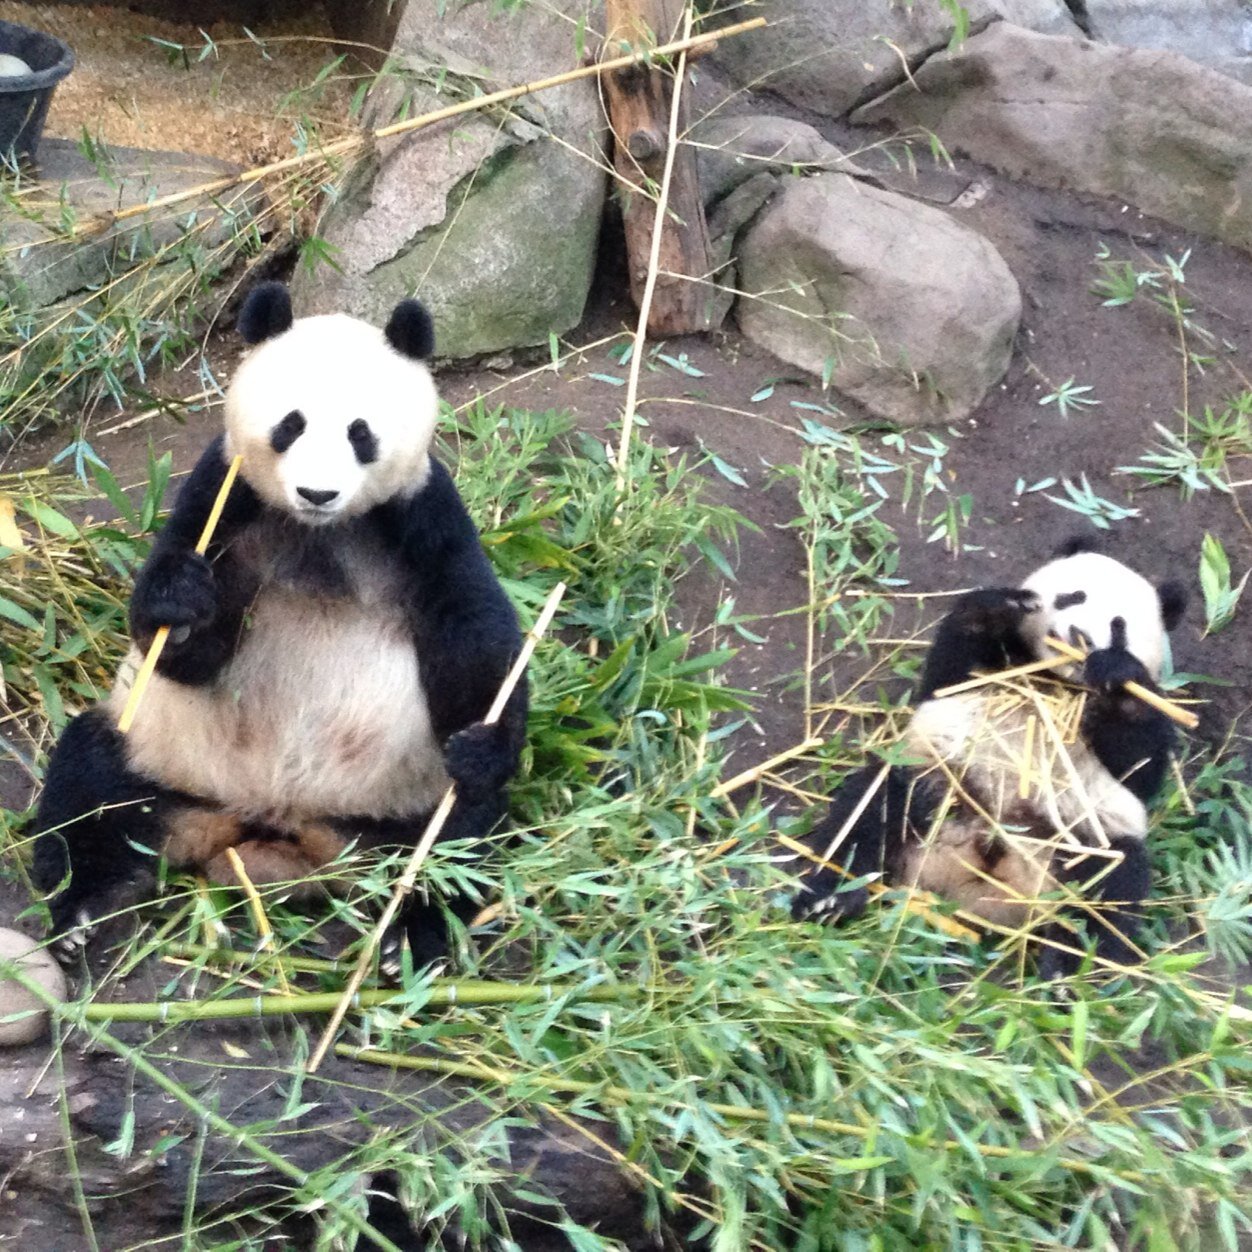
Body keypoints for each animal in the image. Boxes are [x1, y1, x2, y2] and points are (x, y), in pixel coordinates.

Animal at [33, 284, 523, 966]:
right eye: (291, 425)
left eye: (360, 434)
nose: (317, 493)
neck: (318, 531)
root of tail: (276, 823)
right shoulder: (225, 496)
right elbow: (188, 645)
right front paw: (179, 607)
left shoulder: (422, 518)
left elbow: (472, 638)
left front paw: (483, 744)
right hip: (161, 754)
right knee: (90, 787)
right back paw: (86, 907)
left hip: (402, 790)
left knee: (454, 838)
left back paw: (409, 934)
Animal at [786, 538, 1186, 976]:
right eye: (1072, 597)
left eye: (1118, 627)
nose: (1077, 635)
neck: (1052, 679)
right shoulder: (984, 674)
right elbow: (949, 672)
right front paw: (1001, 607)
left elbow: (1141, 766)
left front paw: (1116, 674)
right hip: (936, 782)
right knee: (868, 812)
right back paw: (830, 899)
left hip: (1081, 837)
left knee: (1110, 887)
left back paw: (1066, 973)